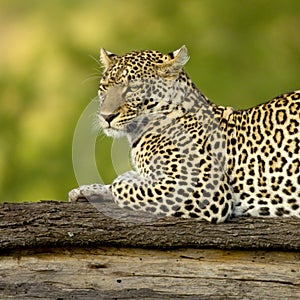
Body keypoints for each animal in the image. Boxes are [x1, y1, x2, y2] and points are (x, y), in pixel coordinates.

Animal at [68, 45, 300, 223]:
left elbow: (123, 186)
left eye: (132, 88)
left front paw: (125, 178)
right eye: (105, 88)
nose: (106, 116)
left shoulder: (202, 189)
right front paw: (86, 190)